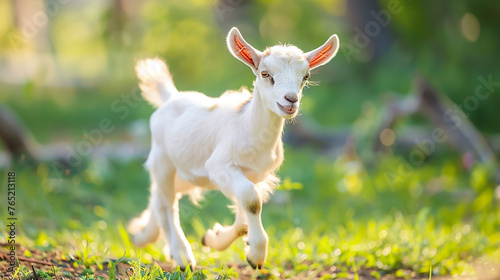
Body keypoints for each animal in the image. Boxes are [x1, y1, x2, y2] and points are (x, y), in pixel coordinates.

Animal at [129, 27, 340, 270]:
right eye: (265, 74)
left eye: (306, 77)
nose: (290, 100)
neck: (250, 130)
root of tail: (170, 97)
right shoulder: (219, 167)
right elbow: (252, 200)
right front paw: (256, 256)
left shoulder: (255, 175)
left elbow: (244, 216)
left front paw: (213, 239)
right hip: (162, 160)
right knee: (167, 205)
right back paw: (182, 256)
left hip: (186, 174)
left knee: (158, 198)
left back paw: (144, 236)